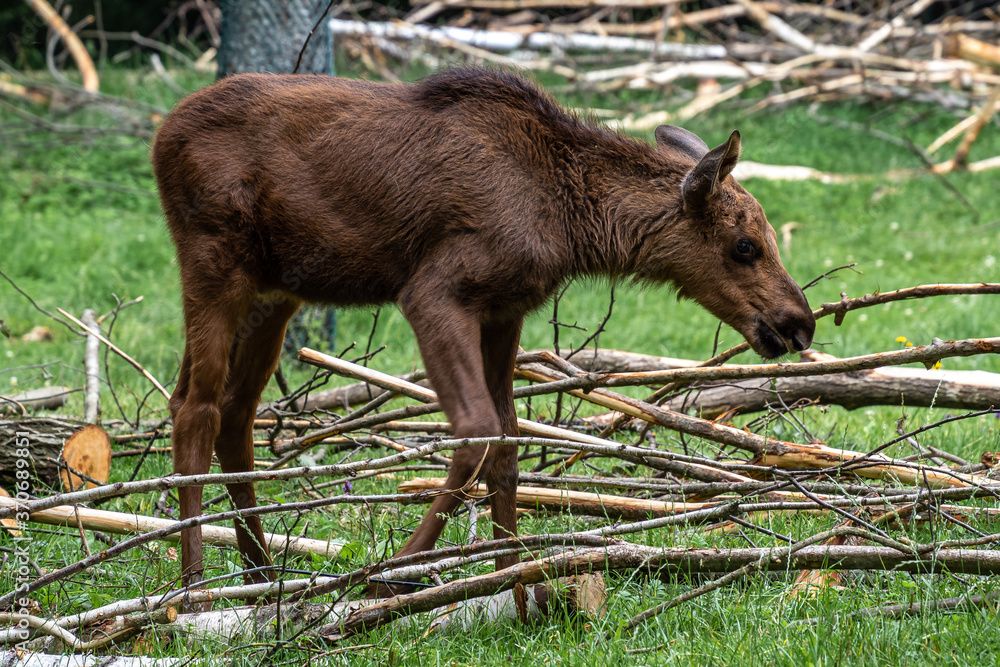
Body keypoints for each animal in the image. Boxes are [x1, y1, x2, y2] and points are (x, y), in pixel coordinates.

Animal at [151, 67, 815, 602]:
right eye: (745, 246)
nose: (799, 323)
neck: (573, 220)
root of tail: (161, 135)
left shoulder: (505, 310)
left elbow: (509, 444)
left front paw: (507, 581)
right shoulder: (434, 292)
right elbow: (475, 430)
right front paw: (390, 575)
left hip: (274, 293)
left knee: (229, 411)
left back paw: (259, 575)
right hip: (214, 263)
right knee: (196, 409)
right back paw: (192, 589)